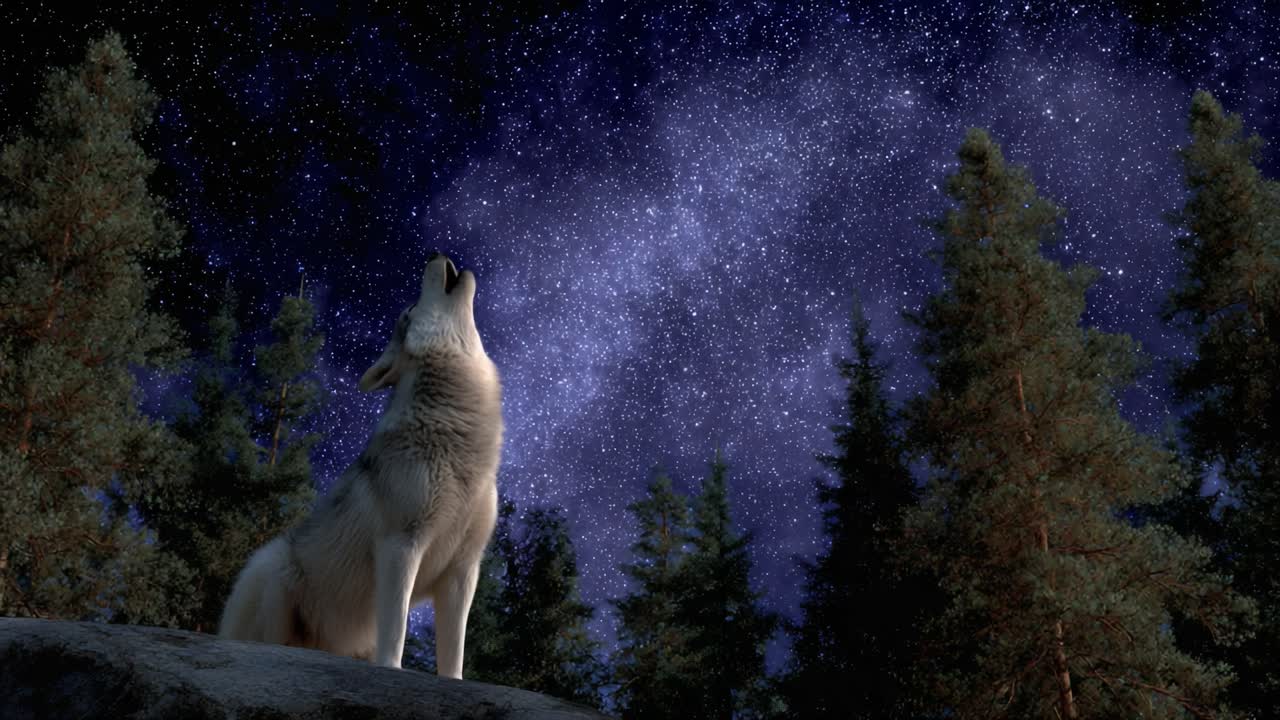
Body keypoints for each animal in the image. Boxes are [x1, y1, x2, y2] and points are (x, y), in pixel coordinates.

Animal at [218, 252, 503, 678]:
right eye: (409, 309)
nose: (433, 255)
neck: (458, 433)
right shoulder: (400, 545)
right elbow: (396, 631)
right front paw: (392, 671)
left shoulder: (464, 570)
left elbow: (454, 653)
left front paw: (454, 681)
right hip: (272, 568)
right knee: (268, 646)